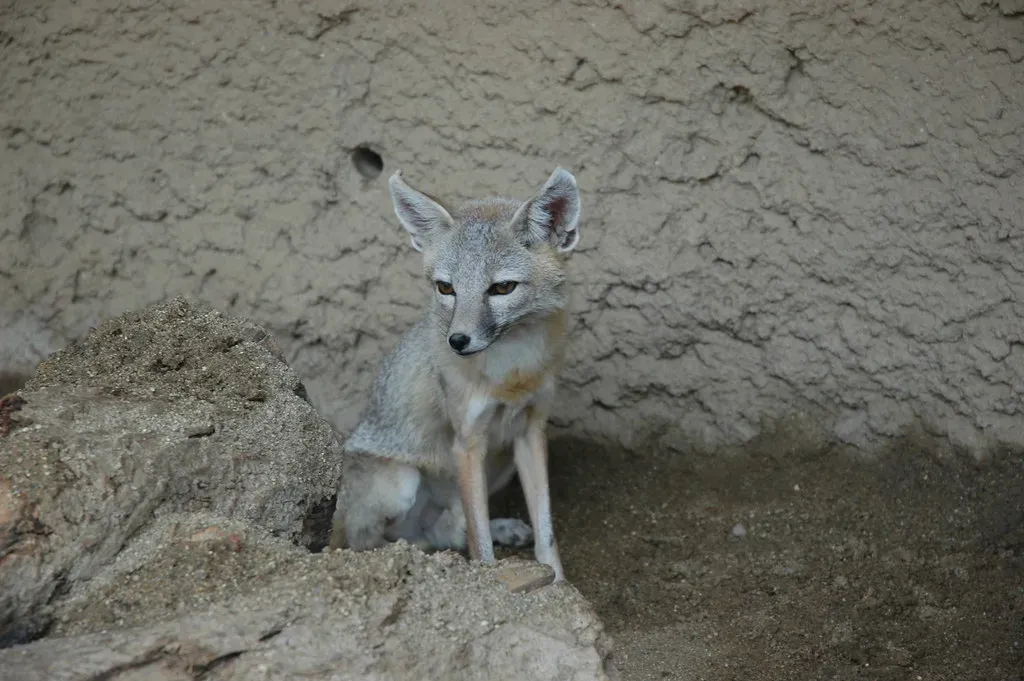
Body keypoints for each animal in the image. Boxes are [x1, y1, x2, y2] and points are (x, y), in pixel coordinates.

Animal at [327, 166, 582, 582]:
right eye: (446, 288)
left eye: (502, 287)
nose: (457, 341)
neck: (512, 373)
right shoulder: (467, 441)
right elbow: (480, 544)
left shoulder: (531, 431)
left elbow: (545, 531)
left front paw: (559, 585)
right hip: (401, 482)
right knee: (372, 544)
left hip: (501, 462)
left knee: (445, 529)